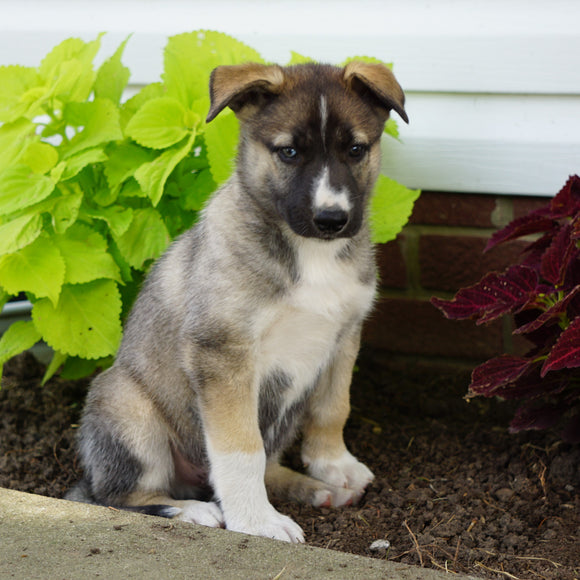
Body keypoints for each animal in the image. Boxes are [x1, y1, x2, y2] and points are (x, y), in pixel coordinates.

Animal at [68, 61, 408, 540]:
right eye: (289, 152)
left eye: (356, 149)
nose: (331, 219)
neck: (309, 253)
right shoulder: (222, 352)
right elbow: (239, 448)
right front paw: (256, 521)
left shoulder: (343, 335)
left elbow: (332, 408)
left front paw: (332, 465)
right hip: (126, 406)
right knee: (120, 497)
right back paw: (192, 511)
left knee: (269, 464)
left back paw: (312, 488)